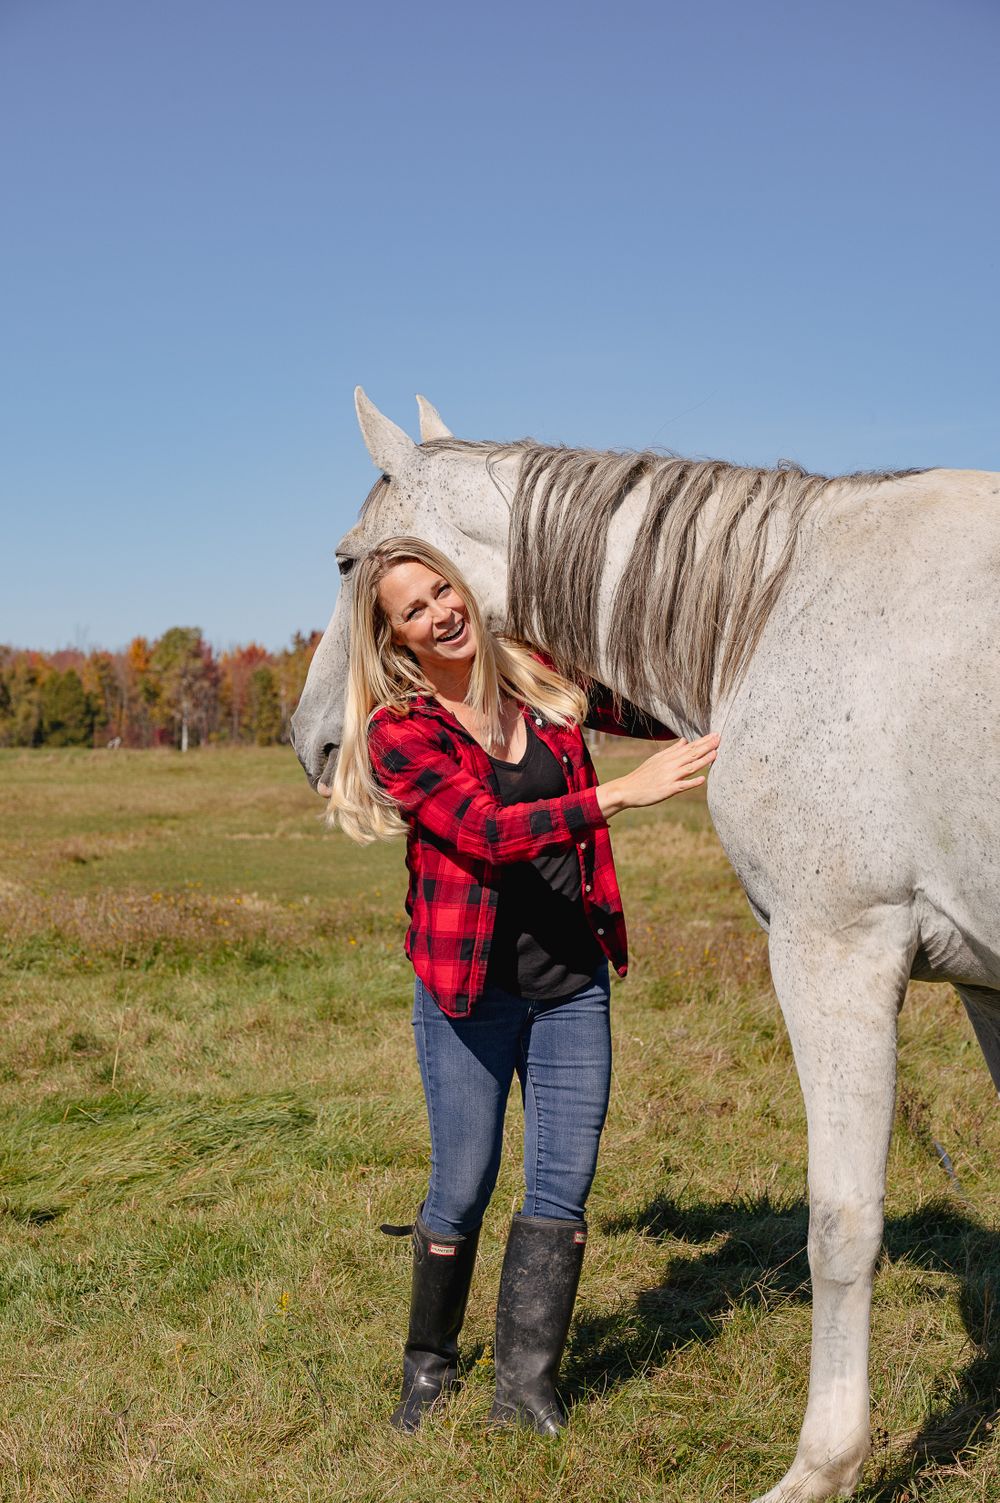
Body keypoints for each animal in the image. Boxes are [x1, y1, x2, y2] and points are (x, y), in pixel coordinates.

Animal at [291, 388, 1000, 1502]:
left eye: (345, 560)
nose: (316, 739)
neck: (779, 606)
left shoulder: (834, 950)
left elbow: (840, 1224)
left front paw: (821, 1465)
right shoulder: (986, 987)